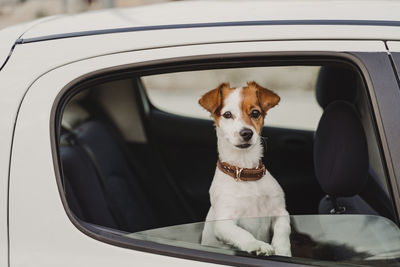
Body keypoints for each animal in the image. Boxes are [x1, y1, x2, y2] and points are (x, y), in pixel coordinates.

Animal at [199, 81, 290, 258]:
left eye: (255, 113)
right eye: (227, 114)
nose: (246, 133)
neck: (245, 171)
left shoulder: (280, 211)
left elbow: (283, 229)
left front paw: (282, 250)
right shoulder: (224, 222)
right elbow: (242, 233)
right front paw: (258, 244)